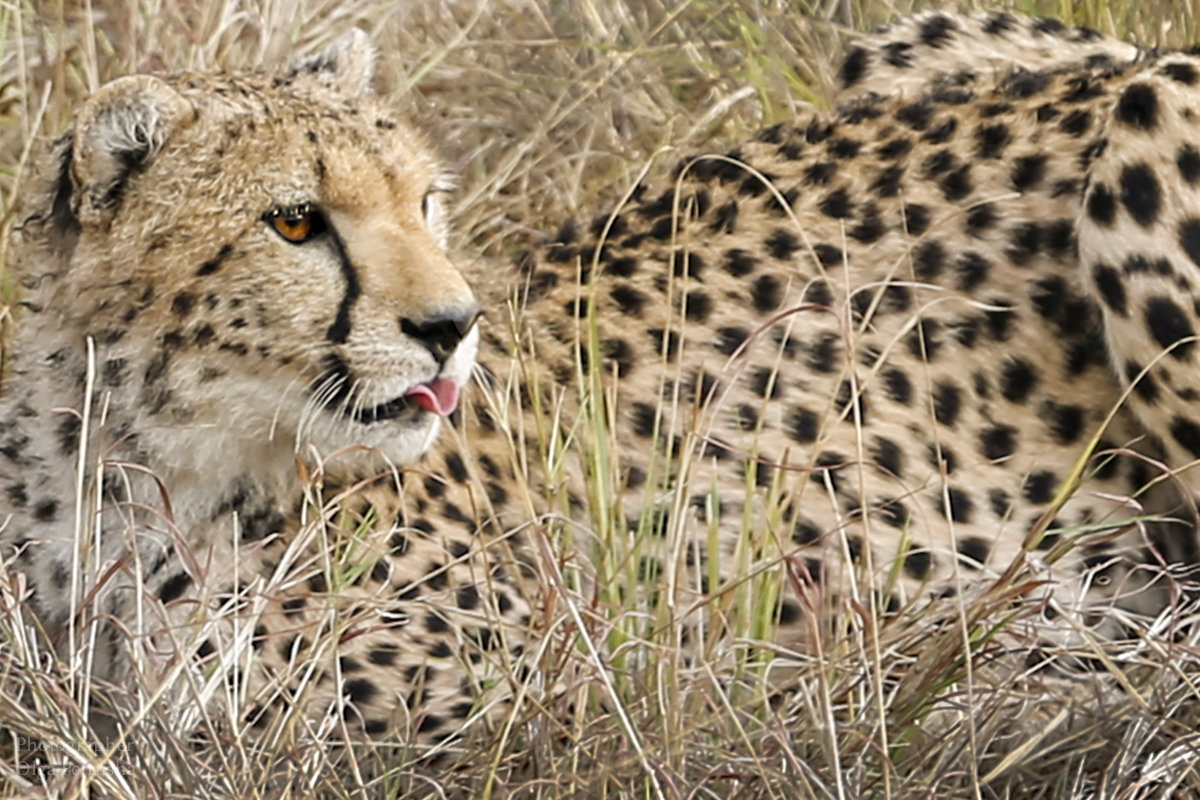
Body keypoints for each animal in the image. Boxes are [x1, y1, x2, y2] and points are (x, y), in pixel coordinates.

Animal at [7, 14, 1200, 762]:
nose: (452, 328)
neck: (140, 458)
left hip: (1145, 113)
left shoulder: (558, 687)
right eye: (295, 222)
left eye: (424, 202)